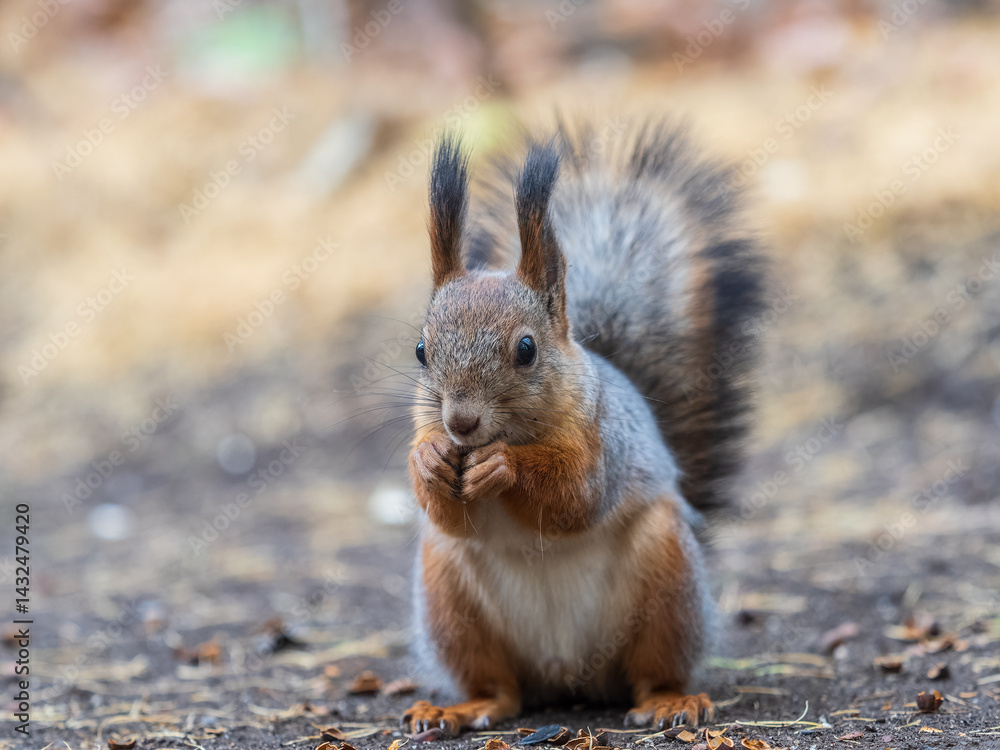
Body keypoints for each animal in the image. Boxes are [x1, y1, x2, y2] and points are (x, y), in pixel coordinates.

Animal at [401, 120, 765, 735]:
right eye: (422, 351)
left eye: (526, 349)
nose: (461, 422)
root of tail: (566, 675)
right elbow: (448, 514)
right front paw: (429, 462)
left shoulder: (601, 443)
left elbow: (575, 498)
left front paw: (503, 467)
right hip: (449, 598)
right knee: (501, 690)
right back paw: (463, 707)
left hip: (666, 580)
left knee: (651, 672)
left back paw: (670, 701)